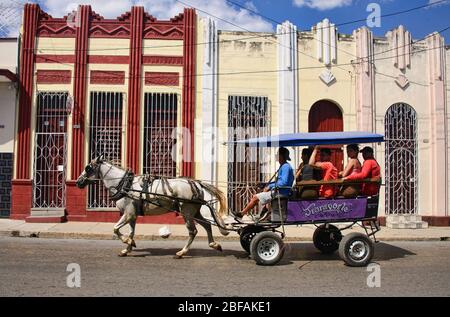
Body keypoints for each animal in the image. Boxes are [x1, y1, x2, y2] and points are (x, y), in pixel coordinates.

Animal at [76, 155, 229, 256]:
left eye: (88, 168)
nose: (78, 181)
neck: (124, 184)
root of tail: (196, 183)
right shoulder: (133, 215)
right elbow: (131, 232)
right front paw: (128, 248)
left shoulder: (128, 214)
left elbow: (115, 229)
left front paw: (127, 241)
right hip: (194, 212)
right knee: (207, 225)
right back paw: (214, 245)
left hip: (186, 212)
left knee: (193, 231)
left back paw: (182, 252)